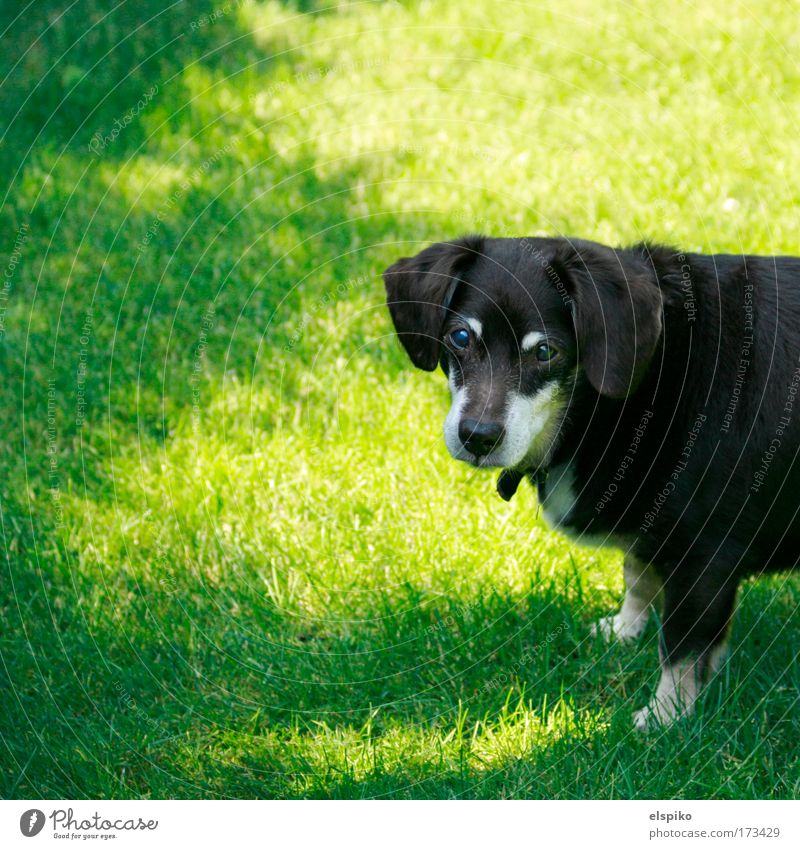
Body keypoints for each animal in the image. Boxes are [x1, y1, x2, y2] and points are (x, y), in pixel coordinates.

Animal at [384, 234, 800, 728]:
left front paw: (665, 717)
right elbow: (637, 577)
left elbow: (680, 649)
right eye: (460, 337)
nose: (478, 436)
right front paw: (625, 629)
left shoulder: (705, 556)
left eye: (546, 352)